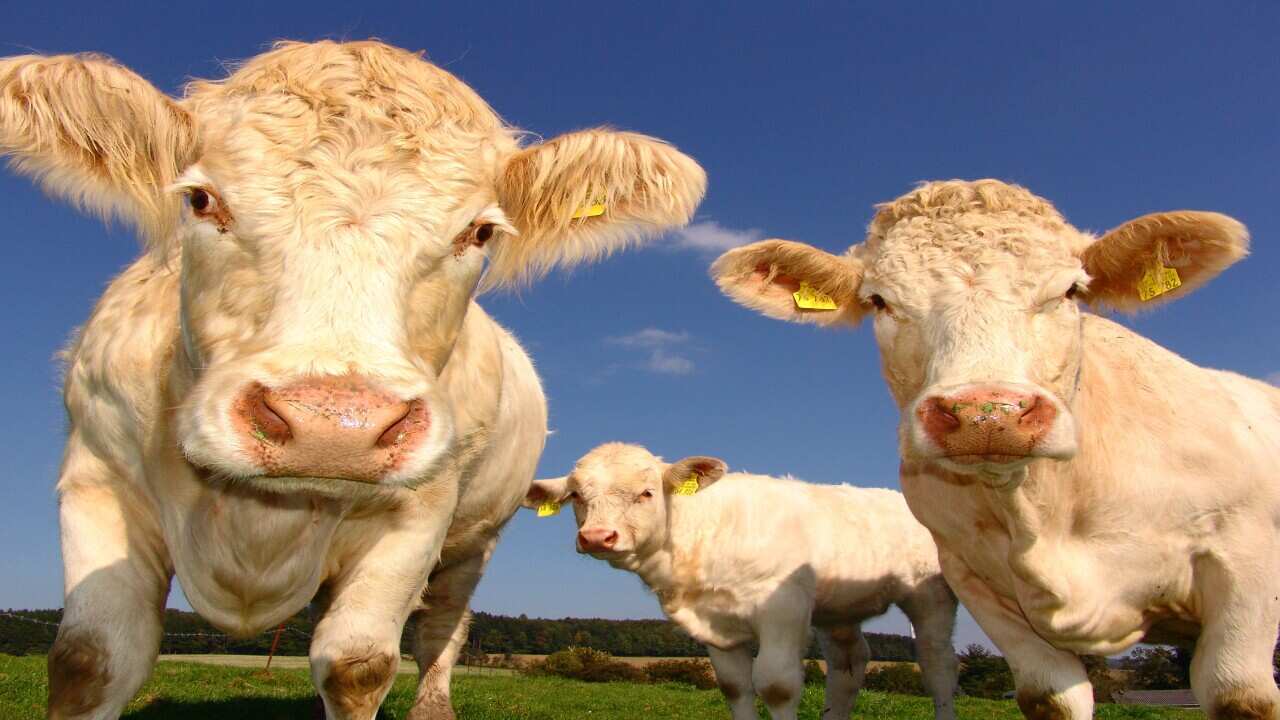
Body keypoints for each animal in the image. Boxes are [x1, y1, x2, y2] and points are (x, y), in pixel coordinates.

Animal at [0, 40, 705, 719]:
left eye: (478, 232)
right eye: (200, 200)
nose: (331, 427)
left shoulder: (418, 516)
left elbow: (356, 664)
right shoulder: (97, 478)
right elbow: (90, 659)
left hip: (473, 543)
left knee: (441, 629)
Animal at [524, 442, 960, 720]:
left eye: (646, 492)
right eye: (577, 496)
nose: (597, 537)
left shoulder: (783, 609)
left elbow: (777, 685)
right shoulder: (715, 625)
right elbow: (735, 687)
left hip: (931, 595)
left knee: (937, 666)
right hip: (838, 610)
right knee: (849, 666)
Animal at [711, 179, 1280, 719]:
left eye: (1070, 290)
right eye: (880, 301)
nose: (988, 415)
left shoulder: (1246, 562)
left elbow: (1239, 695)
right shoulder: (979, 583)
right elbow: (1050, 698)